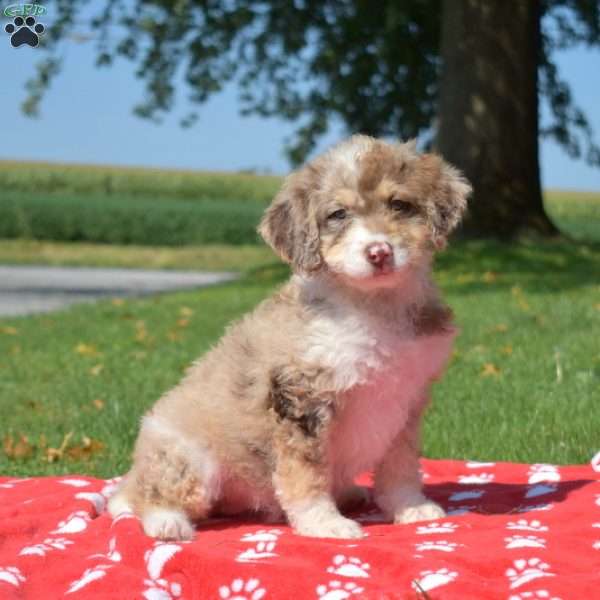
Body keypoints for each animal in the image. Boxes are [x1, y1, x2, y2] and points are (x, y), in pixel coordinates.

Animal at [109, 135, 474, 540]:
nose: (379, 252)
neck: (373, 306)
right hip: (186, 455)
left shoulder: (406, 399)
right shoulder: (301, 398)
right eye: (338, 214)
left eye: (399, 204)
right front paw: (324, 524)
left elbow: (401, 464)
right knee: (141, 498)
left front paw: (410, 507)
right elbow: (306, 472)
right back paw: (167, 522)